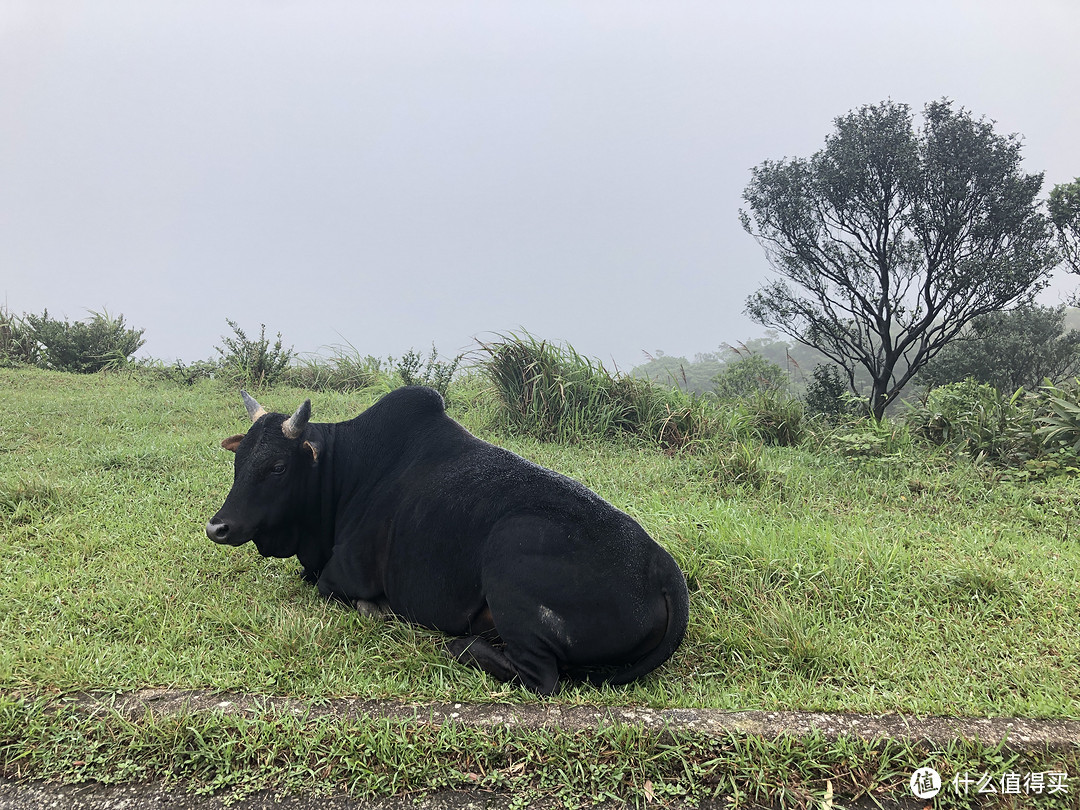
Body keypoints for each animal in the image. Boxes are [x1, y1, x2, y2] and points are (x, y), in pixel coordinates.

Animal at [206, 390, 686, 695]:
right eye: (239, 459)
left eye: (278, 467)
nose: (218, 528)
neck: (347, 470)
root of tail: (663, 567)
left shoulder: (341, 576)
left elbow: (335, 590)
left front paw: (376, 609)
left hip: (510, 556)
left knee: (540, 679)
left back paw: (460, 644)